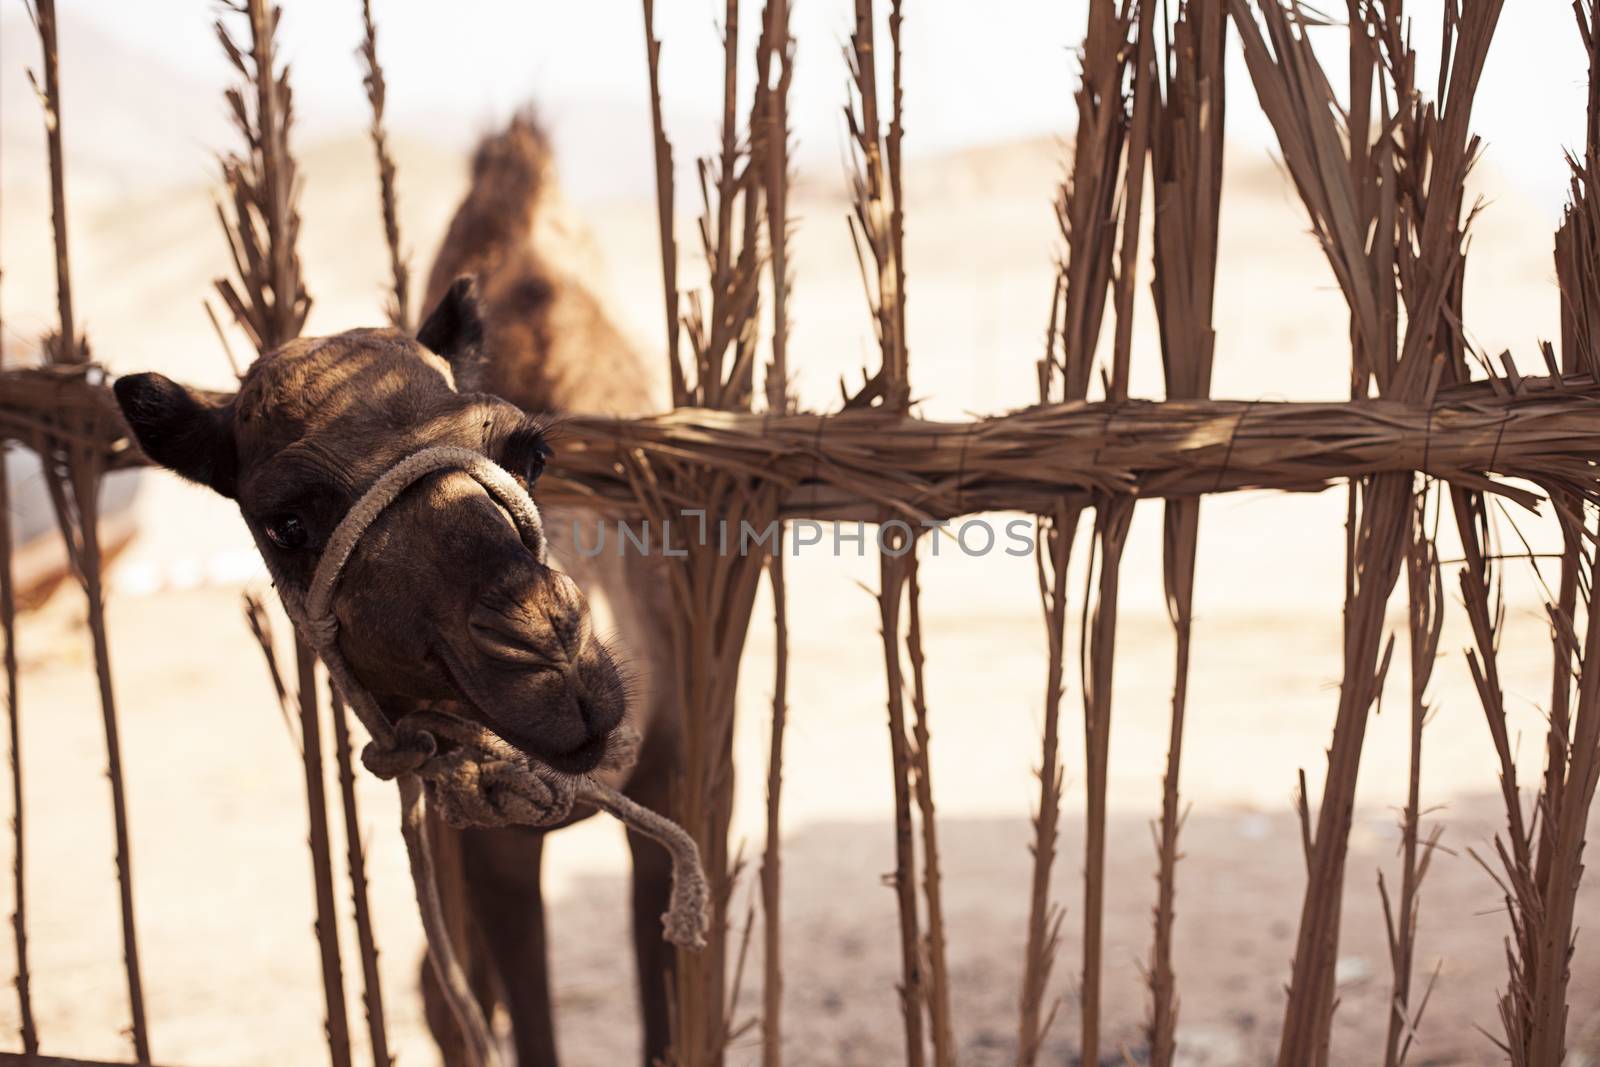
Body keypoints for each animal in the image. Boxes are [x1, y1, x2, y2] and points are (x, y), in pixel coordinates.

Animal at [109, 112, 684, 1062]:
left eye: (529, 450)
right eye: (287, 522)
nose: (554, 660)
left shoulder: (688, 758)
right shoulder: (488, 831)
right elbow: (518, 1013)